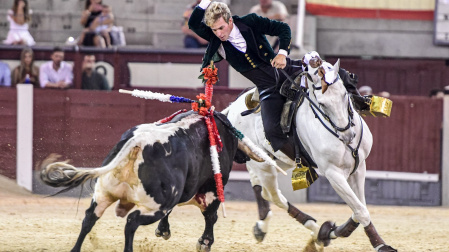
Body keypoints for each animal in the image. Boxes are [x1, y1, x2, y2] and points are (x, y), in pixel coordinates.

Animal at [39, 111, 252, 252]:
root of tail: (139, 142)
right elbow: (210, 216)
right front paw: (205, 242)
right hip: (154, 206)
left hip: (103, 194)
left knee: (89, 218)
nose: (244, 157)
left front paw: (164, 231)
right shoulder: (212, 191)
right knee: (132, 221)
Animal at [224, 60, 396, 251]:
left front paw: (330, 232)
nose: (347, 136)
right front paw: (380, 245)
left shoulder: (359, 167)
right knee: (273, 195)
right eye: (322, 104)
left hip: (280, 161)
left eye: (345, 94)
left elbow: (360, 207)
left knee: (262, 189)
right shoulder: (333, 173)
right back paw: (310, 226)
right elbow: (361, 210)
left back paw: (268, 227)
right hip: (264, 165)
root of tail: (233, 107)